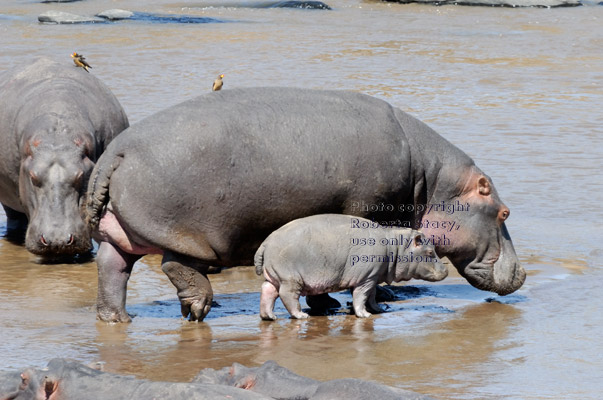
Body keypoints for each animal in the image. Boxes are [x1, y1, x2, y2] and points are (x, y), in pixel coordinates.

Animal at [255, 214, 448, 320]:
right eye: (430, 252)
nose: (446, 270)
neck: (396, 247)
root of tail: (266, 242)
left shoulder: (372, 277)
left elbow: (371, 296)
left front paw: (378, 310)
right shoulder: (366, 278)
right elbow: (360, 296)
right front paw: (364, 315)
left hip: (275, 276)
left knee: (267, 292)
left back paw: (269, 317)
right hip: (290, 279)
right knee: (287, 296)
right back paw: (302, 316)